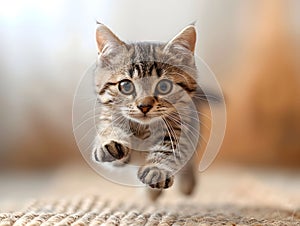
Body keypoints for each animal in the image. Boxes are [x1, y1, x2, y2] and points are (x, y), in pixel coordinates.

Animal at [91, 23, 199, 200]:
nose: (144, 106)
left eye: (164, 86)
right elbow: (110, 130)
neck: (143, 128)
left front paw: (157, 169)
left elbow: (171, 149)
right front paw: (110, 141)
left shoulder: (180, 128)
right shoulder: (109, 116)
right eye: (126, 86)